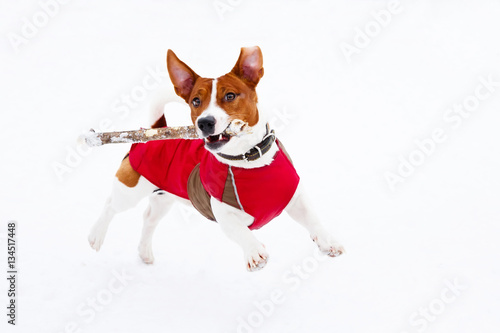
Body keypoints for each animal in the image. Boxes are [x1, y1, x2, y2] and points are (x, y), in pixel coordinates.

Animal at [88, 46, 344, 270]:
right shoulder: (223, 212)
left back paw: (145, 253)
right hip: (129, 190)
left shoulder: (295, 196)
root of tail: (155, 130)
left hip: (164, 196)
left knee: (149, 218)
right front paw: (254, 252)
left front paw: (327, 241)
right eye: (195, 101)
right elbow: (241, 232)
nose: (204, 122)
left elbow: (313, 218)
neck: (250, 161)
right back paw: (95, 236)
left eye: (230, 96)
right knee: (110, 205)